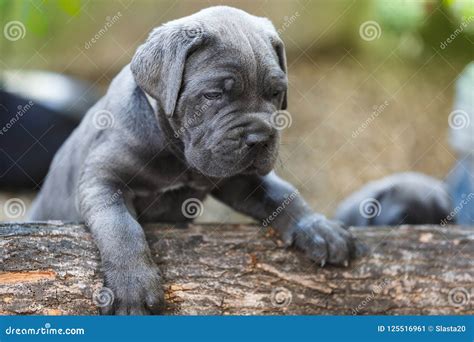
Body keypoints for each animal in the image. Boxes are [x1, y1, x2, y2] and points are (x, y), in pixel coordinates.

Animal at [29, 6, 356, 316]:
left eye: (276, 93)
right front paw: (133, 288)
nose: (260, 138)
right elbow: (120, 226)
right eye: (213, 95)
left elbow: (281, 193)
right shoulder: (102, 178)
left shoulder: (240, 180)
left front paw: (317, 227)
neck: (176, 152)